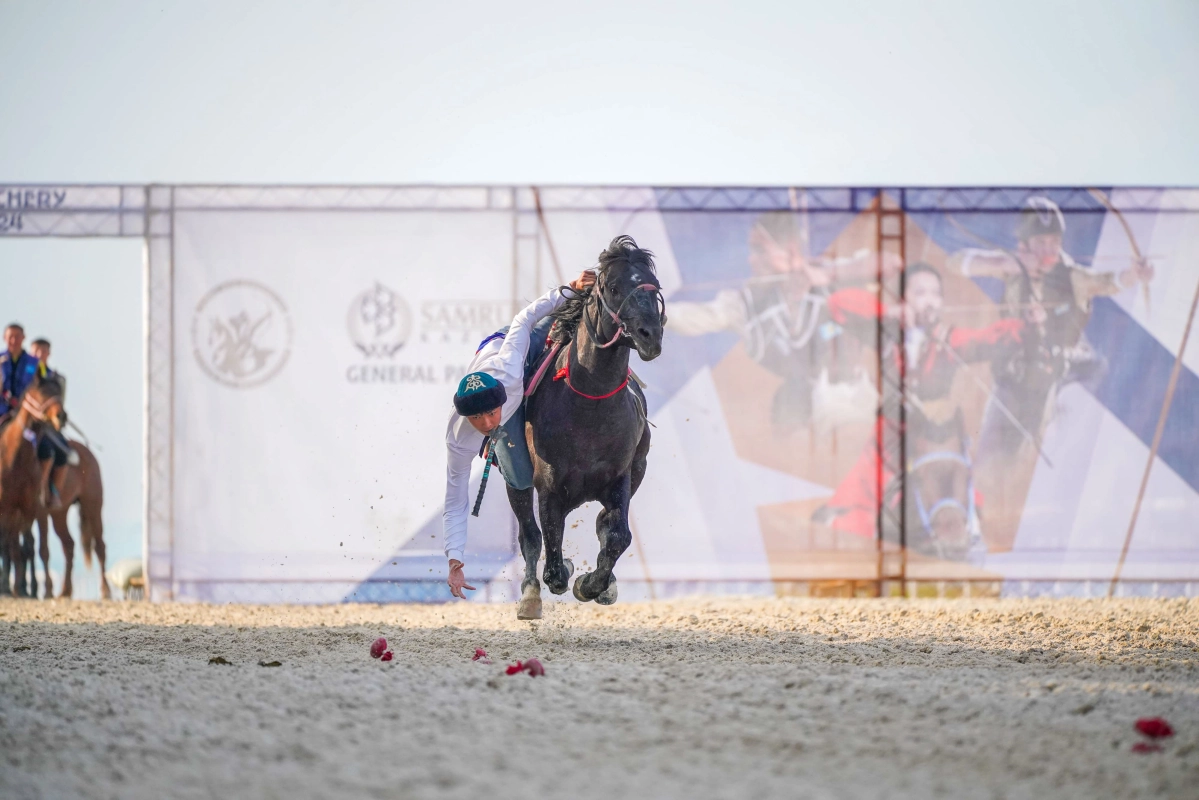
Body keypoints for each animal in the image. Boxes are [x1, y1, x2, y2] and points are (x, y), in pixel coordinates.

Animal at [0, 374, 65, 594]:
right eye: (41, 393)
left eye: (59, 391)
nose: (61, 416)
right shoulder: (7, 508)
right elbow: (10, 547)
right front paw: (12, 586)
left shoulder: (29, 507)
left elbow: (28, 547)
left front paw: (25, 588)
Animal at [32, 438, 107, 599]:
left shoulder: (39, 510)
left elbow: (42, 549)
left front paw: (47, 591)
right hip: (59, 513)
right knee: (69, 544)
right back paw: (65, 590)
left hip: (92, 505)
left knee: (99, 546)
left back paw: (105, 590)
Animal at [508, 235, 671, 623]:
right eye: (613, 287)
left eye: (654, 285)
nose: (650, 336)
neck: (590, 404)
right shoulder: (549, 484)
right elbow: (550, 549)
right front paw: (565, 574)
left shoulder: (620, 477)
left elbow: (618, 535)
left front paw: (594, 584)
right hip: (513, 477)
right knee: (529, 534)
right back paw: (530, 595)